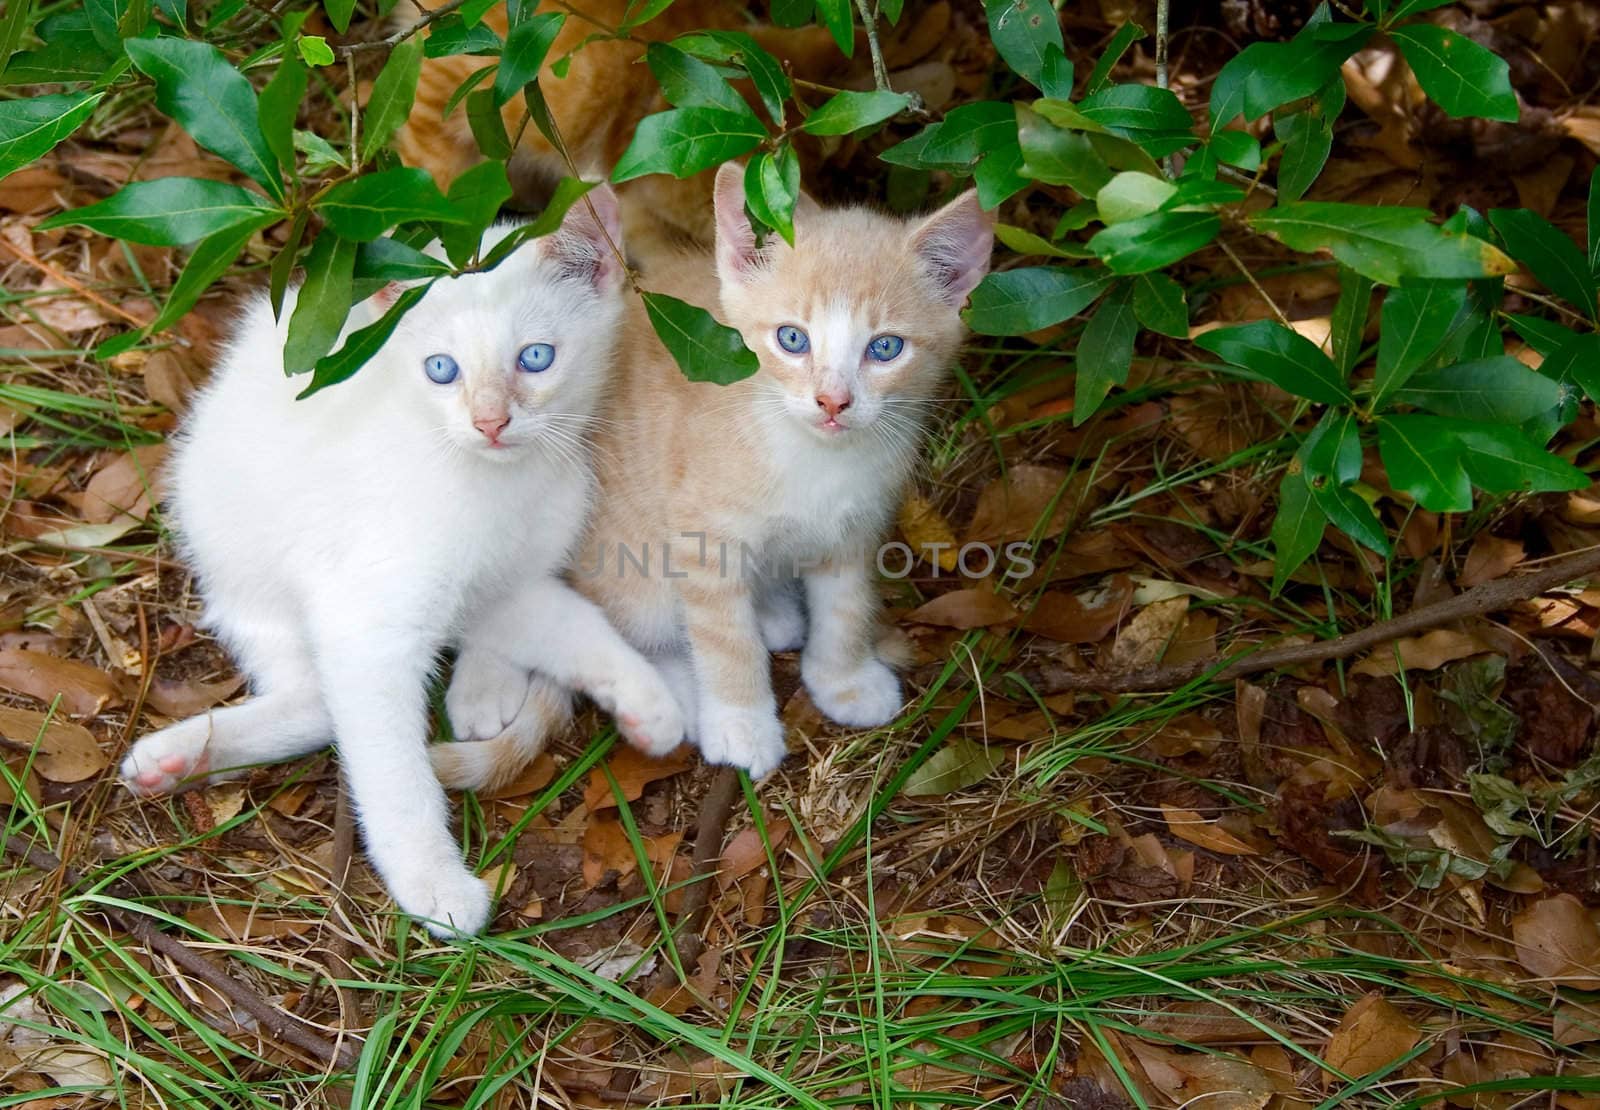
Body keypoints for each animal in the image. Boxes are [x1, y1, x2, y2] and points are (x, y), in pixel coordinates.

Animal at [118, 189, 681, 940]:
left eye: (536, 358)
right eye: (441, 369)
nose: (490, 422)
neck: (495, 485)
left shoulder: (512, 581)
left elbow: (574, 624)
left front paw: (645, 699)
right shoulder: (367, 620)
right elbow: (390, 767)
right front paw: (432, 880)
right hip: (238, 559)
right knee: (320, 704)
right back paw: (183, 755)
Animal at [432, 163, 992, 790]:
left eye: (886, 348)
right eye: (792, 339)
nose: (833, 401)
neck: (814, 456)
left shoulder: (857, 523)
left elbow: (847, 605)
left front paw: (843, 679)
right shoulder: (702, 535)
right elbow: (724, 638)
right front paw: (741, 723)